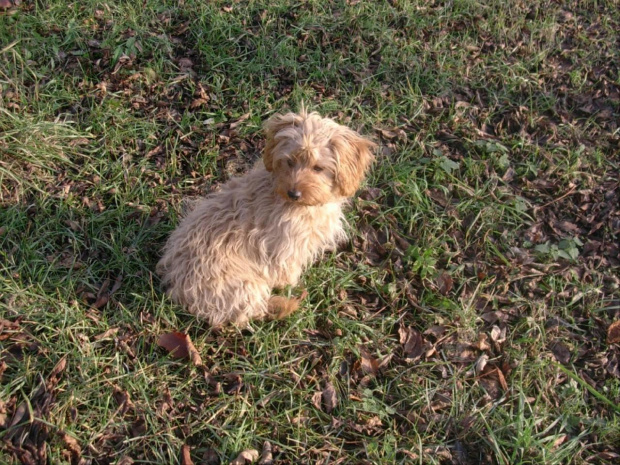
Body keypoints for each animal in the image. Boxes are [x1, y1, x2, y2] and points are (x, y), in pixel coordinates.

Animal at [157, 109, 376, 326]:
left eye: (318, 168)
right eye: (289, 161)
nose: (293, 193)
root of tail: (177, 289)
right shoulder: (286, 246)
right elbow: (286, 270)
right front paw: (289, 283)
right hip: (245, 286)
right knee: (246, 314)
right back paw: (284, 304)